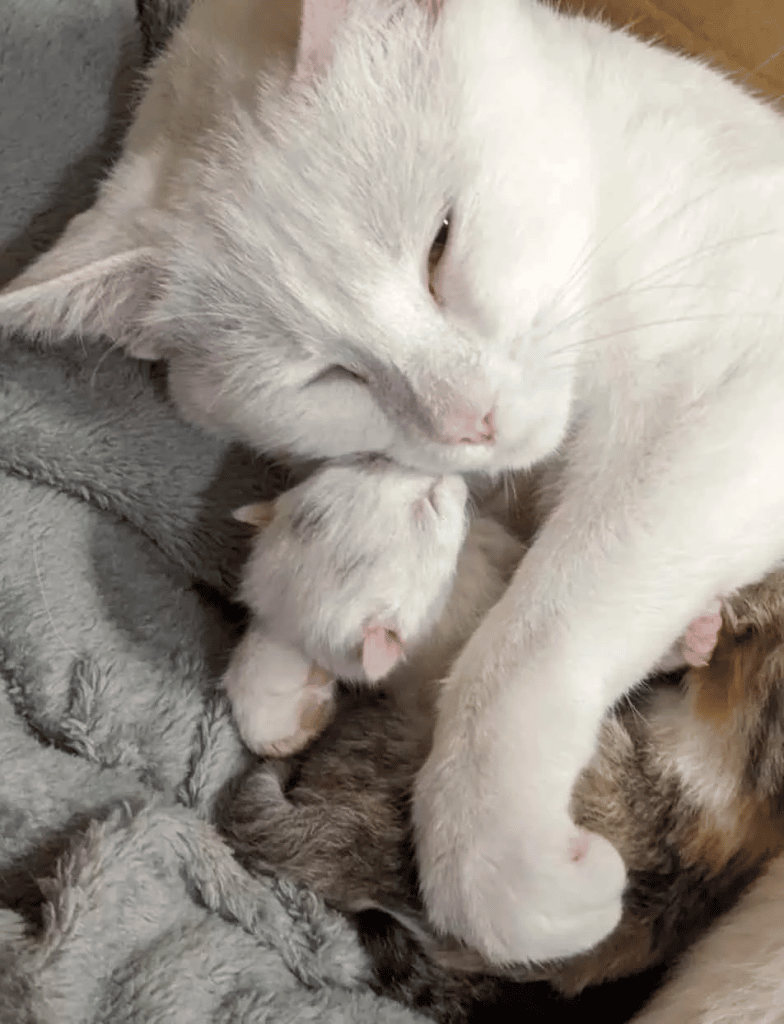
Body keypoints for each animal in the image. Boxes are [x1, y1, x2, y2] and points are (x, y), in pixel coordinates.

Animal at [1, 0, 784, 966]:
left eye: (440, 247)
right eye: (327, 376)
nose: (466, 418)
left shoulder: (734, 397)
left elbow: (543, 624)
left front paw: (488, 846)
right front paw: (279, 680)